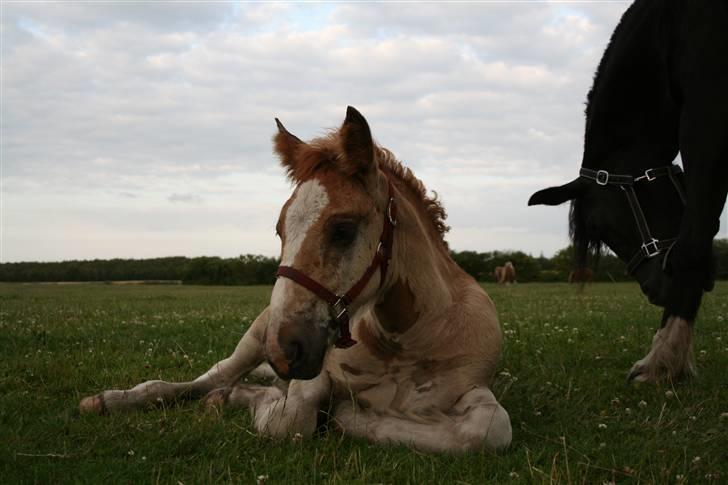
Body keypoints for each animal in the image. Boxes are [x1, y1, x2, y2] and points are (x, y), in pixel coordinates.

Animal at [81, 106, 512, 450]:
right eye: (280, 230)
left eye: (343, 229)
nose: (284, 349)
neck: (407, 342)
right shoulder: (313, 371)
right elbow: (293, 418)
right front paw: (329, 411)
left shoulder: (473, 388)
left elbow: (488, 429)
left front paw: (357, 417)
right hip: (255, 336)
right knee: (210, 378)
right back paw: (116, 399)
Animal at [528, 1, 728, 384]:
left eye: (603, 228)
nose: (656, 292)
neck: (670, 33)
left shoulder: (708, 118)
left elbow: (691, 245)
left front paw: (664, 359)